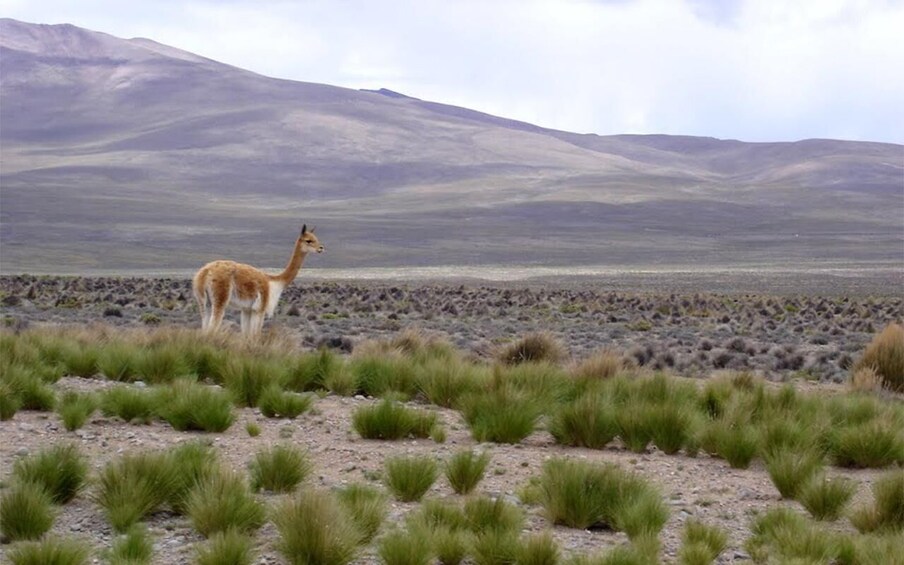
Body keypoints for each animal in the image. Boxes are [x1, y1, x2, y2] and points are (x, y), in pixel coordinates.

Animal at [192, 225, 324, 335]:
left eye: (316, 238)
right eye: (308, 240)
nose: (321, 248)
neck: (274, 282)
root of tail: (205, 272)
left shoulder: (247, 309)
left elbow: (246, 335)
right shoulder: (260, 309)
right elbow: (255, 335)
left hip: (203, 301)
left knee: (204, 327)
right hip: (220, 297)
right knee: (212, 328)